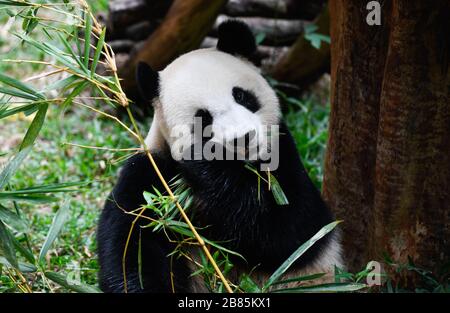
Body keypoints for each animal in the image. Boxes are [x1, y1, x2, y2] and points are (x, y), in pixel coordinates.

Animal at [98, 20, 342, 292]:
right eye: (203, 118)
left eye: (242, 96)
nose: (243, 137)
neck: (242, 166)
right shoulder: (153, 173)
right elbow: (131, 243)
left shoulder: (284, 155)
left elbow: (291, 234)